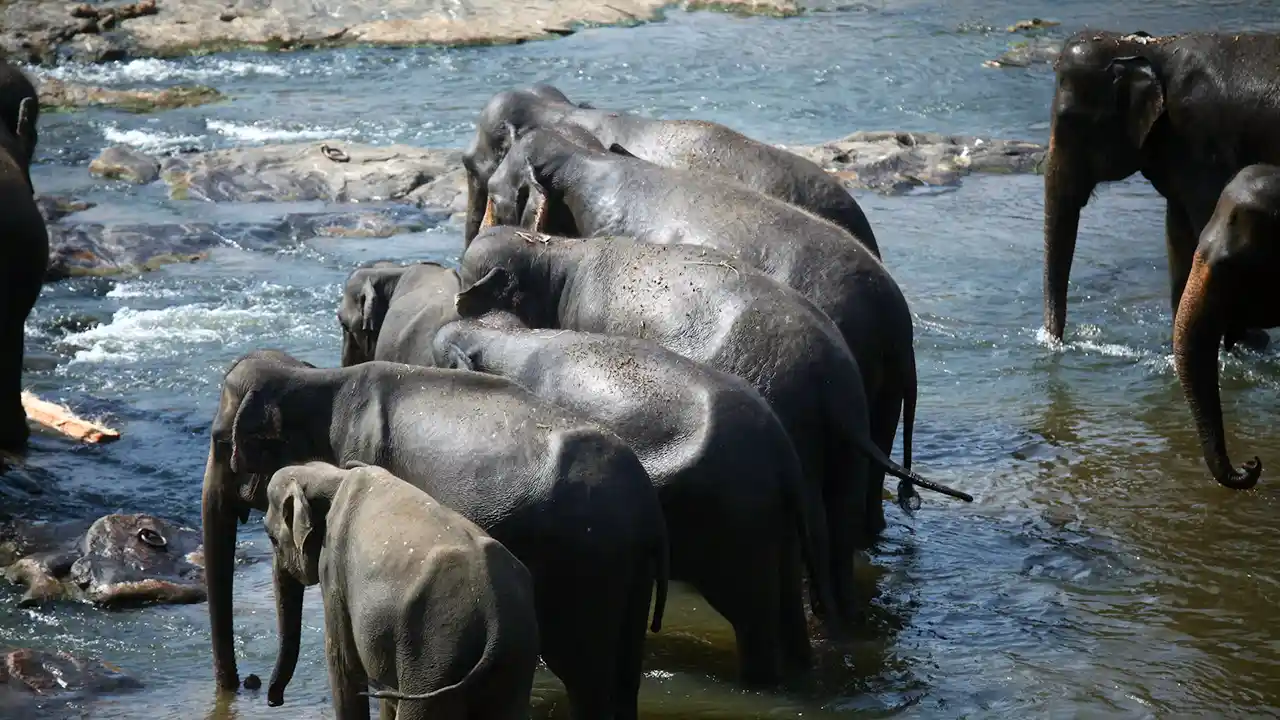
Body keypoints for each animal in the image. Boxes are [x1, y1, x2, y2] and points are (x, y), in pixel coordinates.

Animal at [263, 462, 539, 720]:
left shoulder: (333, 571)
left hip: (432, 657)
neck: (335, 475)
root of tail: (495, 619)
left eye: (271, 538)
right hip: (513, 660)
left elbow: (343, 666)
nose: (274, 701)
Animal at [434, 315, 838, 684]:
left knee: (754, 619)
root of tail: (782, 451)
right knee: (789, 609)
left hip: (739, 523)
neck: (505, 338)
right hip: (777, 524)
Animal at [455, 227, 972, 616]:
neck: (557, 252)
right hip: (852, 438)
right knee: (840, 529)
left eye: (469, 280)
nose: (458, 303)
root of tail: (833, 392)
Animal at [1043, 30, 1280, 349]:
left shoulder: (1205, 148)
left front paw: (1242, 343)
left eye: (1071, 121)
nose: (1055, 344)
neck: (1151, 49)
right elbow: (1177, 235)